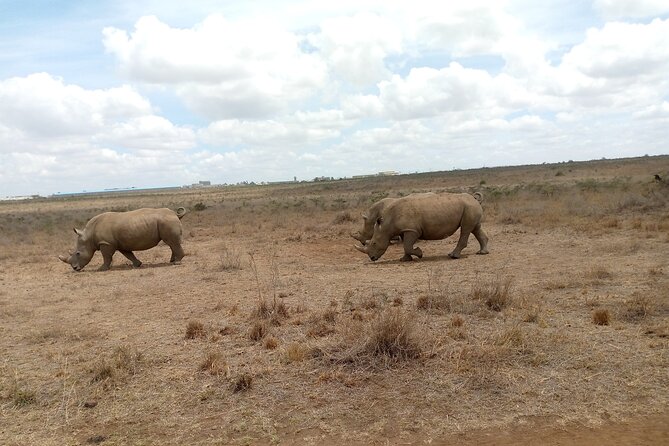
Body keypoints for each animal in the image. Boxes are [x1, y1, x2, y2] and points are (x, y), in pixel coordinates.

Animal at [59, 207, 187, 271]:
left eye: (78, 253)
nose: (75, 268)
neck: (88, 236)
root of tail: (175, 214)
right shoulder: (120, 244)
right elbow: (128, 254)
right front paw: (137, 265)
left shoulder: (106, 243)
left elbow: (107, 257)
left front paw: (102, 269)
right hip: (166, 222)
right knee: (171, 243)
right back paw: (172, 261)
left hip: (167, 221)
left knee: (172, 242)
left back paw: (176, 263)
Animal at [354, 193, 489, 262]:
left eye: (374, 243)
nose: (372, 258)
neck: (387, 223)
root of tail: (475, 199)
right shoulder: (405, 229)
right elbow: (406, 246)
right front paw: (404, 259)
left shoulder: (412, 230)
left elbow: (408, 246)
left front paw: (419, 253)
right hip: (470, 207)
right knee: (475, 228)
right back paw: (482, 253)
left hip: (469, 207)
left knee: (466, 229)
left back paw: (453, 256)